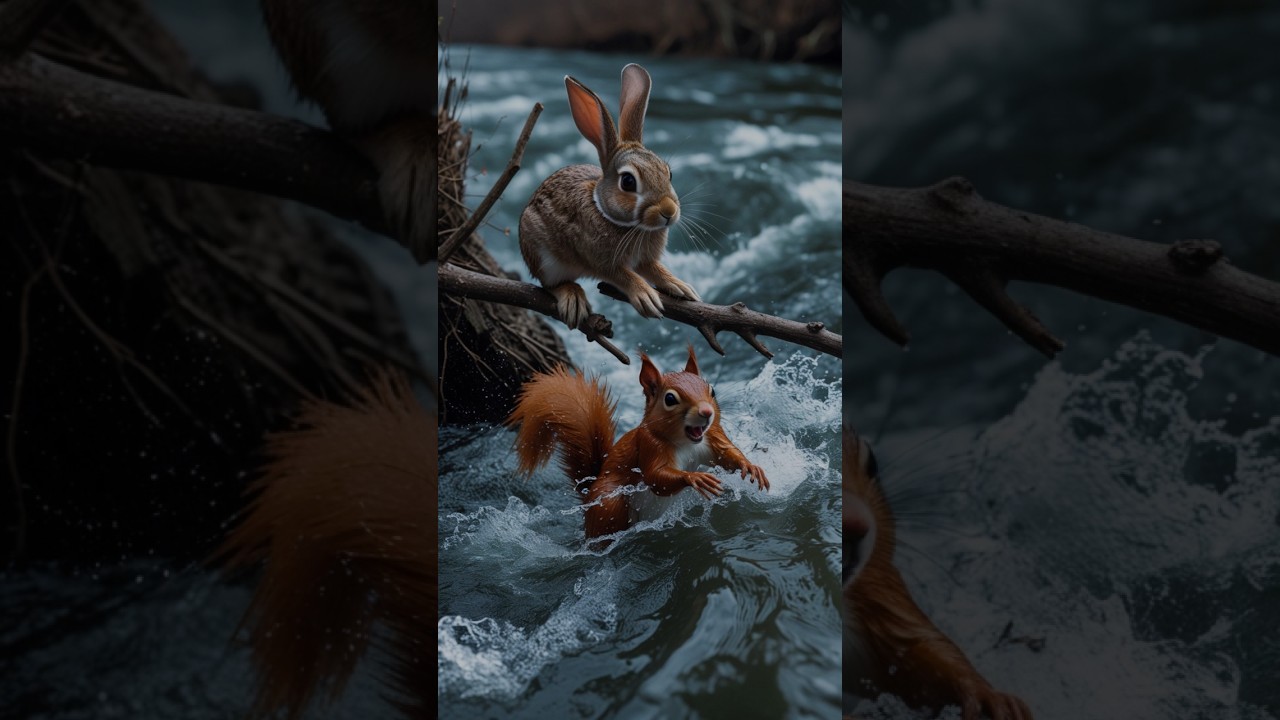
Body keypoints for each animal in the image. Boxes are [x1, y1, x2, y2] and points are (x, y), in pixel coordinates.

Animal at [508, 345, 769, 540]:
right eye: (670, 399)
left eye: (711, 389)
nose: (706, 412)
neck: (687, 443)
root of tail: (588, 495)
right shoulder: (649, 445)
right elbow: (656, 478)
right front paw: (694, 478)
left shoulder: (712, 436)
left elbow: (727, 455)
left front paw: (750, 466)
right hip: (609, 507)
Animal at [519, 64, 701, 329]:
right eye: (628, 182)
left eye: (669, 173)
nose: (669, 211)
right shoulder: (601, 261)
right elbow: (622, 275)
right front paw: (646, 296)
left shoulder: (645, 260)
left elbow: (654, 269)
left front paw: (680, 286)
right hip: (542, 255)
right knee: (550, 284)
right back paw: (573, 299)